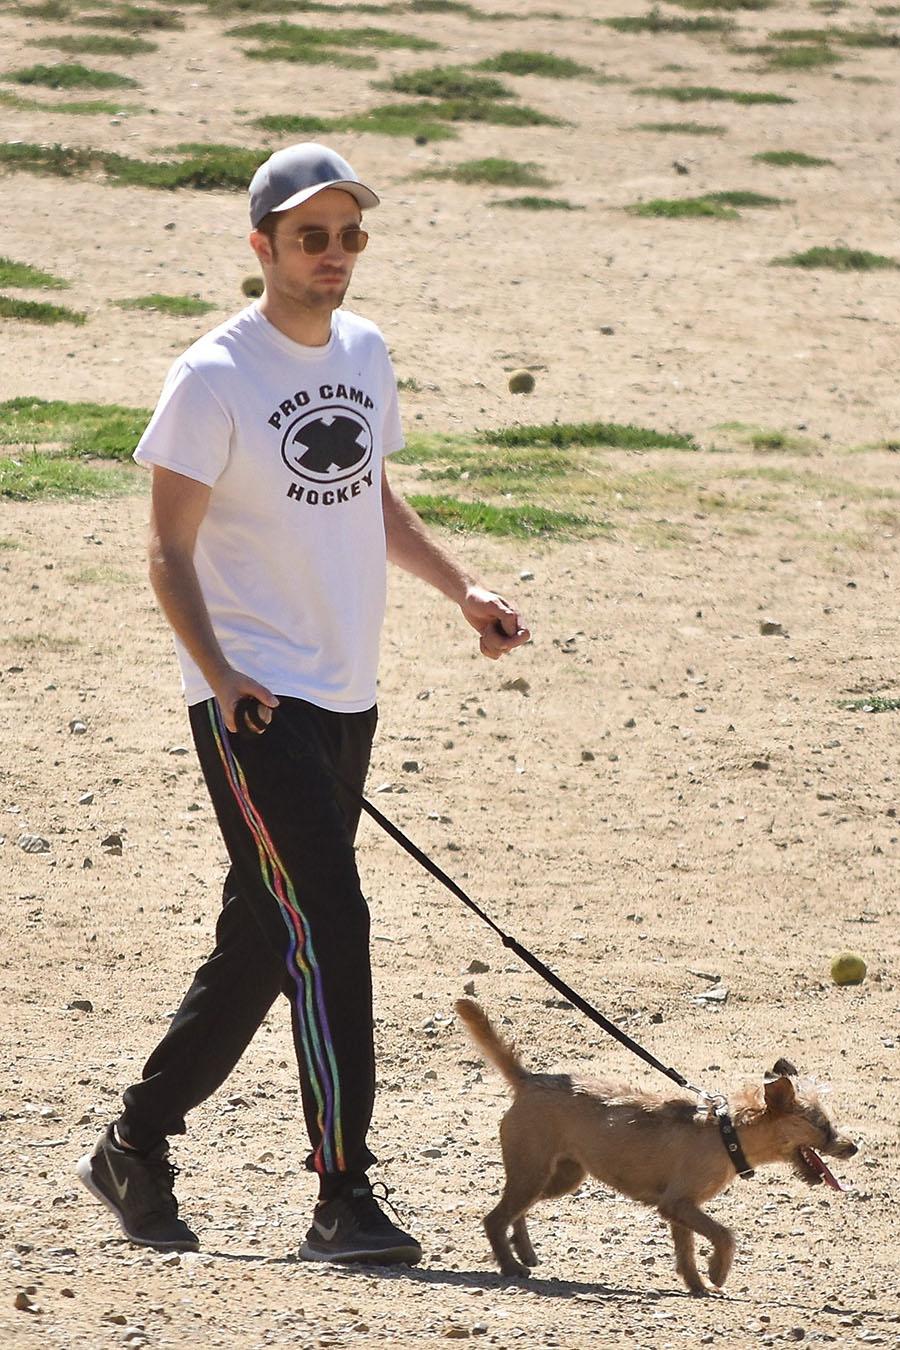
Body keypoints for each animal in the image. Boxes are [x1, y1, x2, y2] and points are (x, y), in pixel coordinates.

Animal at [458, 1004, 858, 1296]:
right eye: (823, 1125)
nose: (853, 1147)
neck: (726, 1133)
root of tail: (528, 1080)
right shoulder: (678, 1204)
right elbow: (724, 1235)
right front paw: (717, 1272)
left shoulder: (680, 1210)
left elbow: (687, 1251)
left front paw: (698, 1286)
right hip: (533, 1172)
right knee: (495, 1218)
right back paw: (511, 1266)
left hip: (560, 1177)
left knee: (515, 1212)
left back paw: (524, 1252)